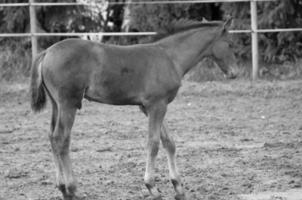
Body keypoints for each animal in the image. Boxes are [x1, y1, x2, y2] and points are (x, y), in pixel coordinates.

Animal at [30, 17, 238, 200]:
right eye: (230, 44)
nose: (234, 73)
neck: (169, 57)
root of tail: (47, 52)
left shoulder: (149, 107)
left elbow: (169, 142)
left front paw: (178, 188)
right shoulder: (157, 105)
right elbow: (153, 143)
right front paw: (152, 188)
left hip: (56, 104)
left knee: (52, 137)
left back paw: (62, 188)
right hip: (69, 104)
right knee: (62, 139)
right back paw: (72, 190)